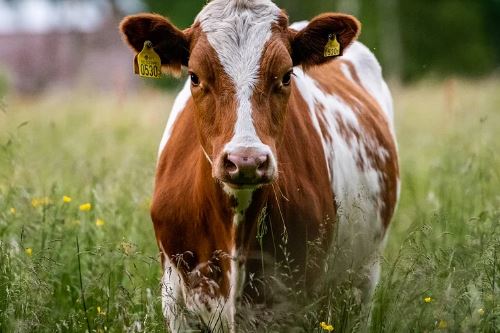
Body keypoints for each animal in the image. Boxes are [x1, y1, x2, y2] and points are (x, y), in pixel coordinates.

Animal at [120, 0, 398, 330]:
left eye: (287, 75)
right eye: (195, 77)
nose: (246, 160)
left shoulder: (297, 304)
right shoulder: (176, 303)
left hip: (362, 280)